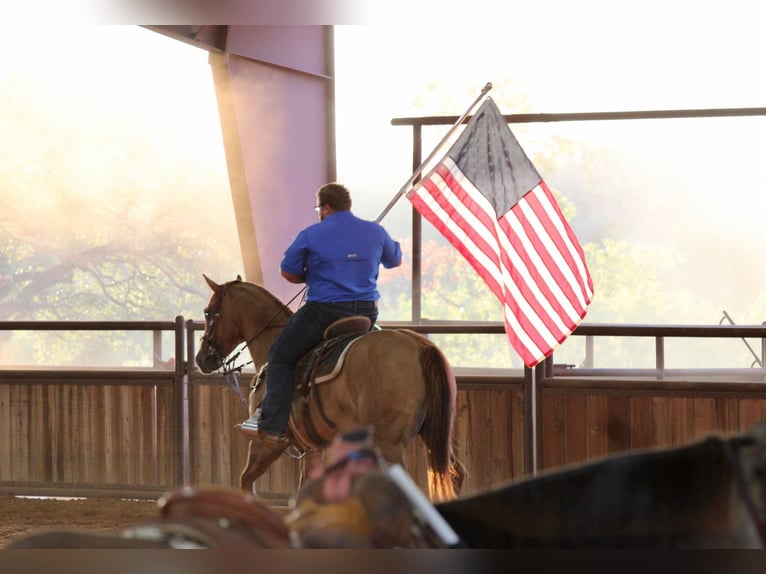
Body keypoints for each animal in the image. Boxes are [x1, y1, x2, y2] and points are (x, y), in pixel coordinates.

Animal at [195, 276, 464, 504]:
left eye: (208, 312)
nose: (201, 359)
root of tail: (420, 346)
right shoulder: (312, 449)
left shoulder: (267, 443)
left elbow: (246, 480)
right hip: (434, 437)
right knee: (455, 473)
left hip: (390, 445)